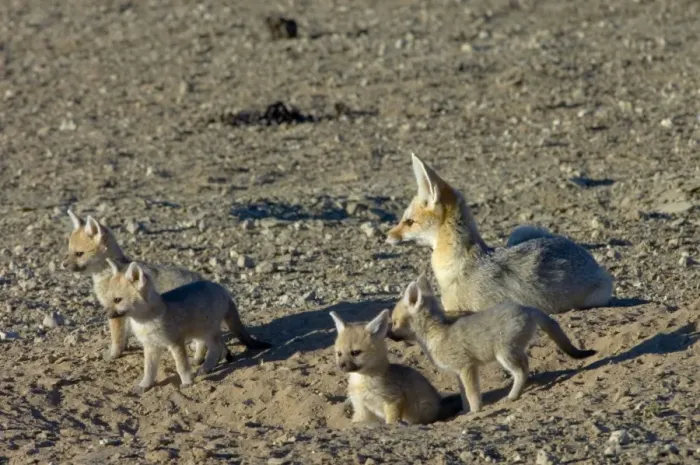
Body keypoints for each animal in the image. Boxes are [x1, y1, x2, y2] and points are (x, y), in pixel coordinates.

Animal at [62, 210, 202, 360]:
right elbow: (124, 337)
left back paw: (198, 360)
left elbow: (117, 338)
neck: (107, 272)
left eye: (79, 254)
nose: (63, 265)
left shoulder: (116, 311)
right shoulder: (125, 312)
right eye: (69, 252)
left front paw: (113, 355)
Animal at [100, 259, 271, 393]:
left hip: (207, 331)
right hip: (199, 332)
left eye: (117, 300)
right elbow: (149, 370)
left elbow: (181, 366)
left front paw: (187, 382)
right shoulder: (151, 346)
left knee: (216, 347)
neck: (147, 320)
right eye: (108, 299)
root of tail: (222, 289)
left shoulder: (175, 342)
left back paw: (206, 367)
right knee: (210, 345)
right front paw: (145, 385)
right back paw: (203, 363)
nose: (104, 314)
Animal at [330, 309, 462, 425]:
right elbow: (356, 422)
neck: (362, 381)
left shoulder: (393, 399)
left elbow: (391, 422)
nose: (341, 365)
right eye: (339, 353)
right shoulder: (361, 408)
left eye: (355, 352)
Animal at [389, 276, 596, 414]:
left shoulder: (467, 367)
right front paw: (465, 412)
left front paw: (475, 411)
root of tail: (527, 308)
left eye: (394, 322)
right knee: (526, 367)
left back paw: (513, 395)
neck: (437, 334)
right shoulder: (459, 373)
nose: (388, 334)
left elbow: (472, 394)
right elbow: (464, 395)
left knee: (522, 371)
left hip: (504, 355)